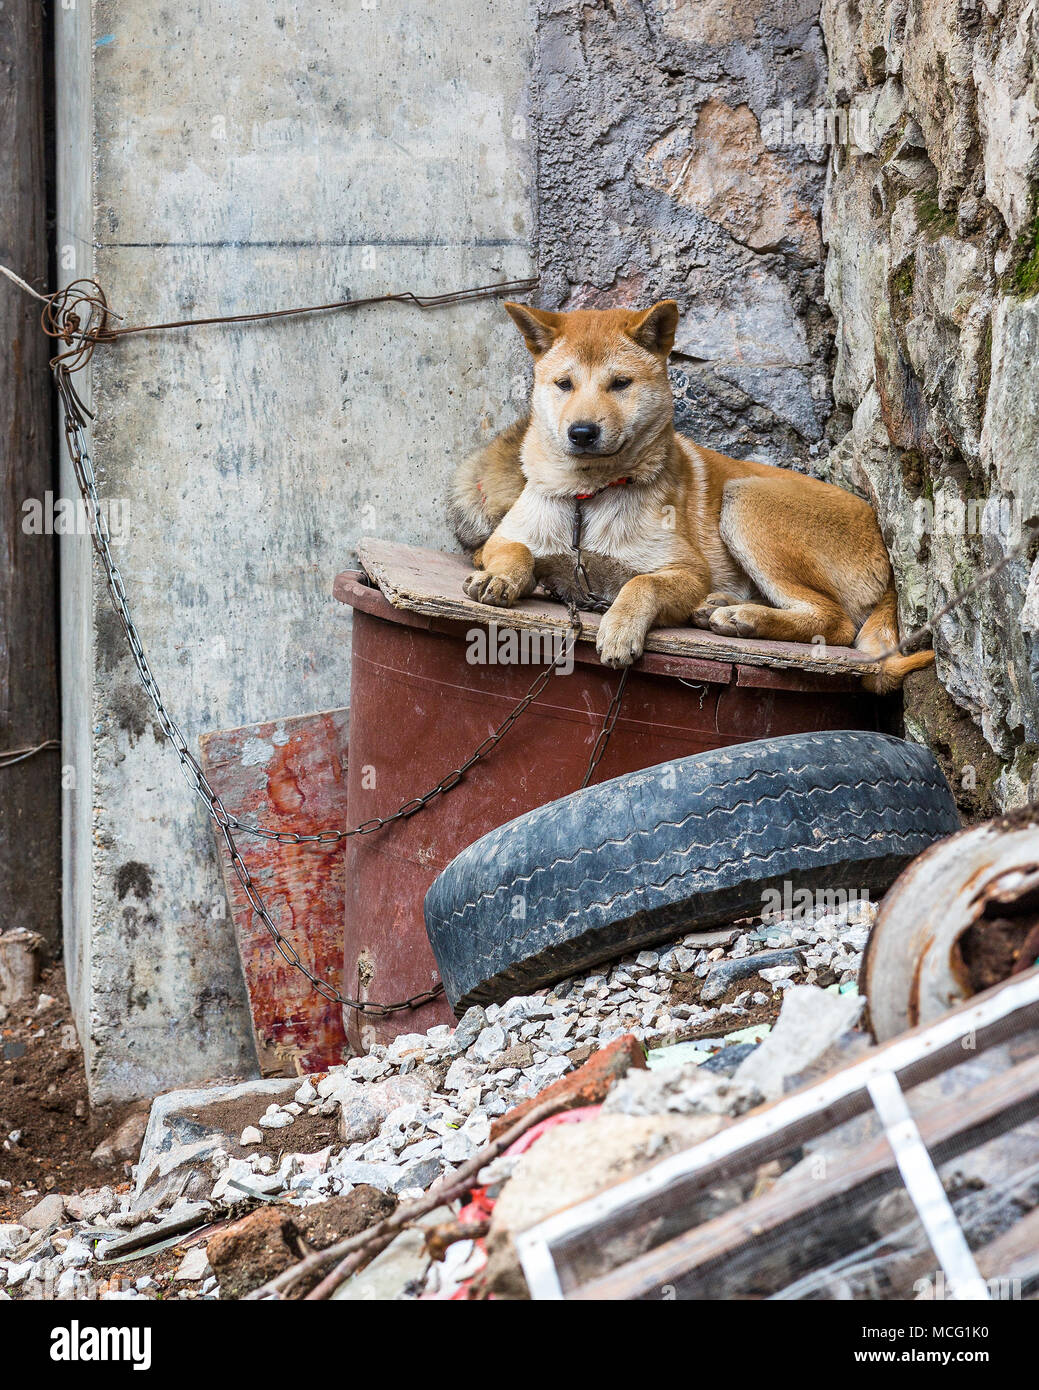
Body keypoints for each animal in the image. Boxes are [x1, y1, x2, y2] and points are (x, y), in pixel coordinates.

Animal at [450, 304, 940, 695]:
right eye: (564, 384)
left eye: (620, 383)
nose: (582, 432)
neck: (587, 498)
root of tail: (883, 544)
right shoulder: (503, 539)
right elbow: (516, 551)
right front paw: (502, 578)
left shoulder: (687, 572)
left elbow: (640, 584)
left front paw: (621, 627)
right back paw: (723, 606)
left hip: (744, 499)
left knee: (834, 620)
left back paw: (742, 617)